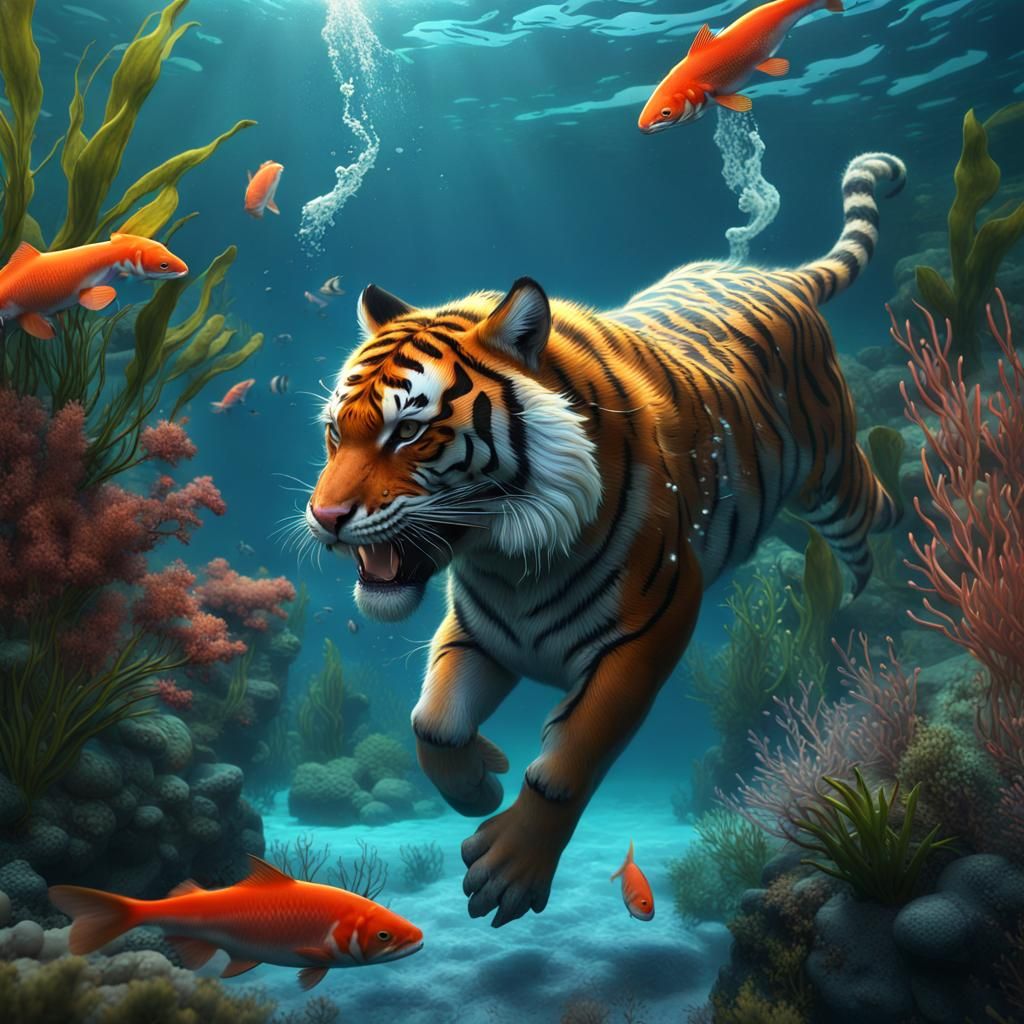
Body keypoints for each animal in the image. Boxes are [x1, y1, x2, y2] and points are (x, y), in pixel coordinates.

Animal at [305, 152, 905, 928]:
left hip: (831, 480)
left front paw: (509, 868)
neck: (506, 558)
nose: (323, 517)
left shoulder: (648, 635)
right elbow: (431, 722)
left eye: (407, 430)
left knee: (875, 513)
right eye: (334, 431)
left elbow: (567, 763)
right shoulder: (477, 630)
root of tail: (777, 275)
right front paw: (479, 784)